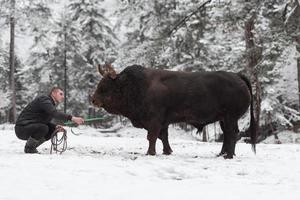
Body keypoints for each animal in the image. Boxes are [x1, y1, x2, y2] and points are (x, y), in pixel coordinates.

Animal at [91, 64, 255, 158]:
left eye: (104, 86)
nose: (93, 100)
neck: (133, 85)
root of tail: (237, 76)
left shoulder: (154, 121)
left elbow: (152, 137)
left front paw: (150, 152)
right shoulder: (163, 122)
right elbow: (163, 137)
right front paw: (167, 151)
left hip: (230, 117)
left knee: (232, 134)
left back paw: (228, 155)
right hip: (223, 119)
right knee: (227, 135)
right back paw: (222, 153)